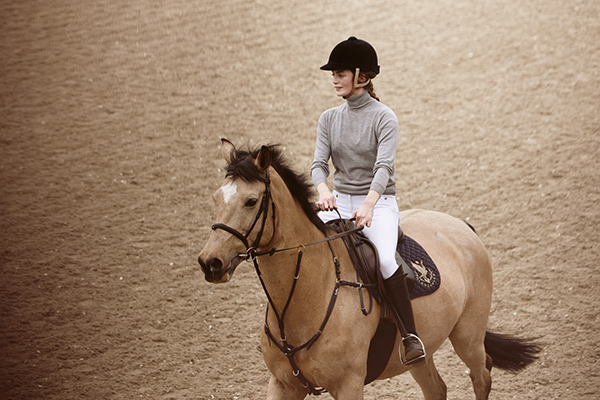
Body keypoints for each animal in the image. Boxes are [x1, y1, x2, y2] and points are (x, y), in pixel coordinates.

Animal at [197, 139, 540, 398]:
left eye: (251, 201)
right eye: (215, 198)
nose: (209, 263)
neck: (305, 297)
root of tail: (461, 226)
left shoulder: (348, 385)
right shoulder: (282, 384)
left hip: (468, 336)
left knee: (481, 376)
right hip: (422, 352)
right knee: (437, 389)